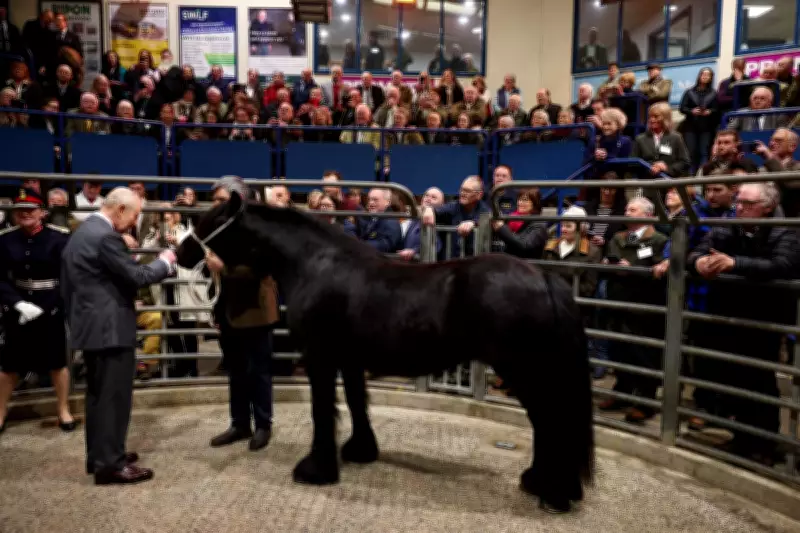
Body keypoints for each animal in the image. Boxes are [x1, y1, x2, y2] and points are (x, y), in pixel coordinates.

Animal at [176, 192, 595, 514]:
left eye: (211, 219)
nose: (180, 252)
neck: (314, 263)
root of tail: (543, 277)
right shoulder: (349, 360)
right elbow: (356, 403)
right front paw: (360, 450)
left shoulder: (320, 358)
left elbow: (322, 411)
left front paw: (315, 470)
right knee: (546, 424)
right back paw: (539, 482)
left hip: (525, 371)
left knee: (552, 423)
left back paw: (554, 494)